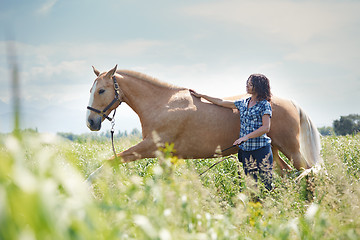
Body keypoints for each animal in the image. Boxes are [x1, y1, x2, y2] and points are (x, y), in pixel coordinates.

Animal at [86, 65, 322, 178]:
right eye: (91, 89)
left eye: (101, 90)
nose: (91, 122)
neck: (163, 104)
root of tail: (292, 103)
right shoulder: (165, 156)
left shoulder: (149, 147)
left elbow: (110, 161)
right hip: (272, 151)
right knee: (287, 174)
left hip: (291, 149)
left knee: (307, 172)